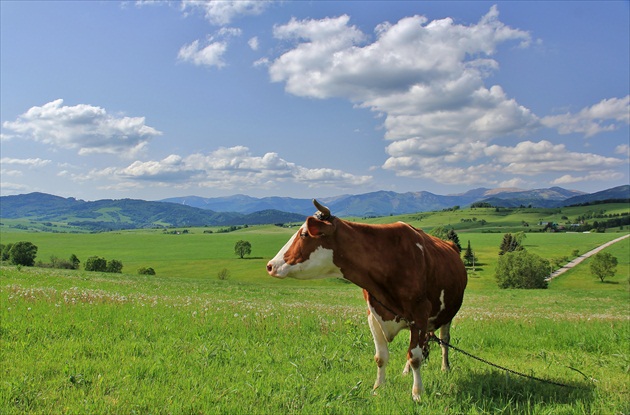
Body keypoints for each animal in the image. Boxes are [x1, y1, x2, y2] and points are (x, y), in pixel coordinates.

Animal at [266, 200, 470, 402]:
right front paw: (378, 388)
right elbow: (381, 357)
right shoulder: (374, 314)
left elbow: (415, 357)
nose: (270, 265)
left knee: (444, 341)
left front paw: (417, 393)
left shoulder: (419, 315)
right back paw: (405, 371)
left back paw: (445, 367)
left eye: (304, 234)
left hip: (446, 316)